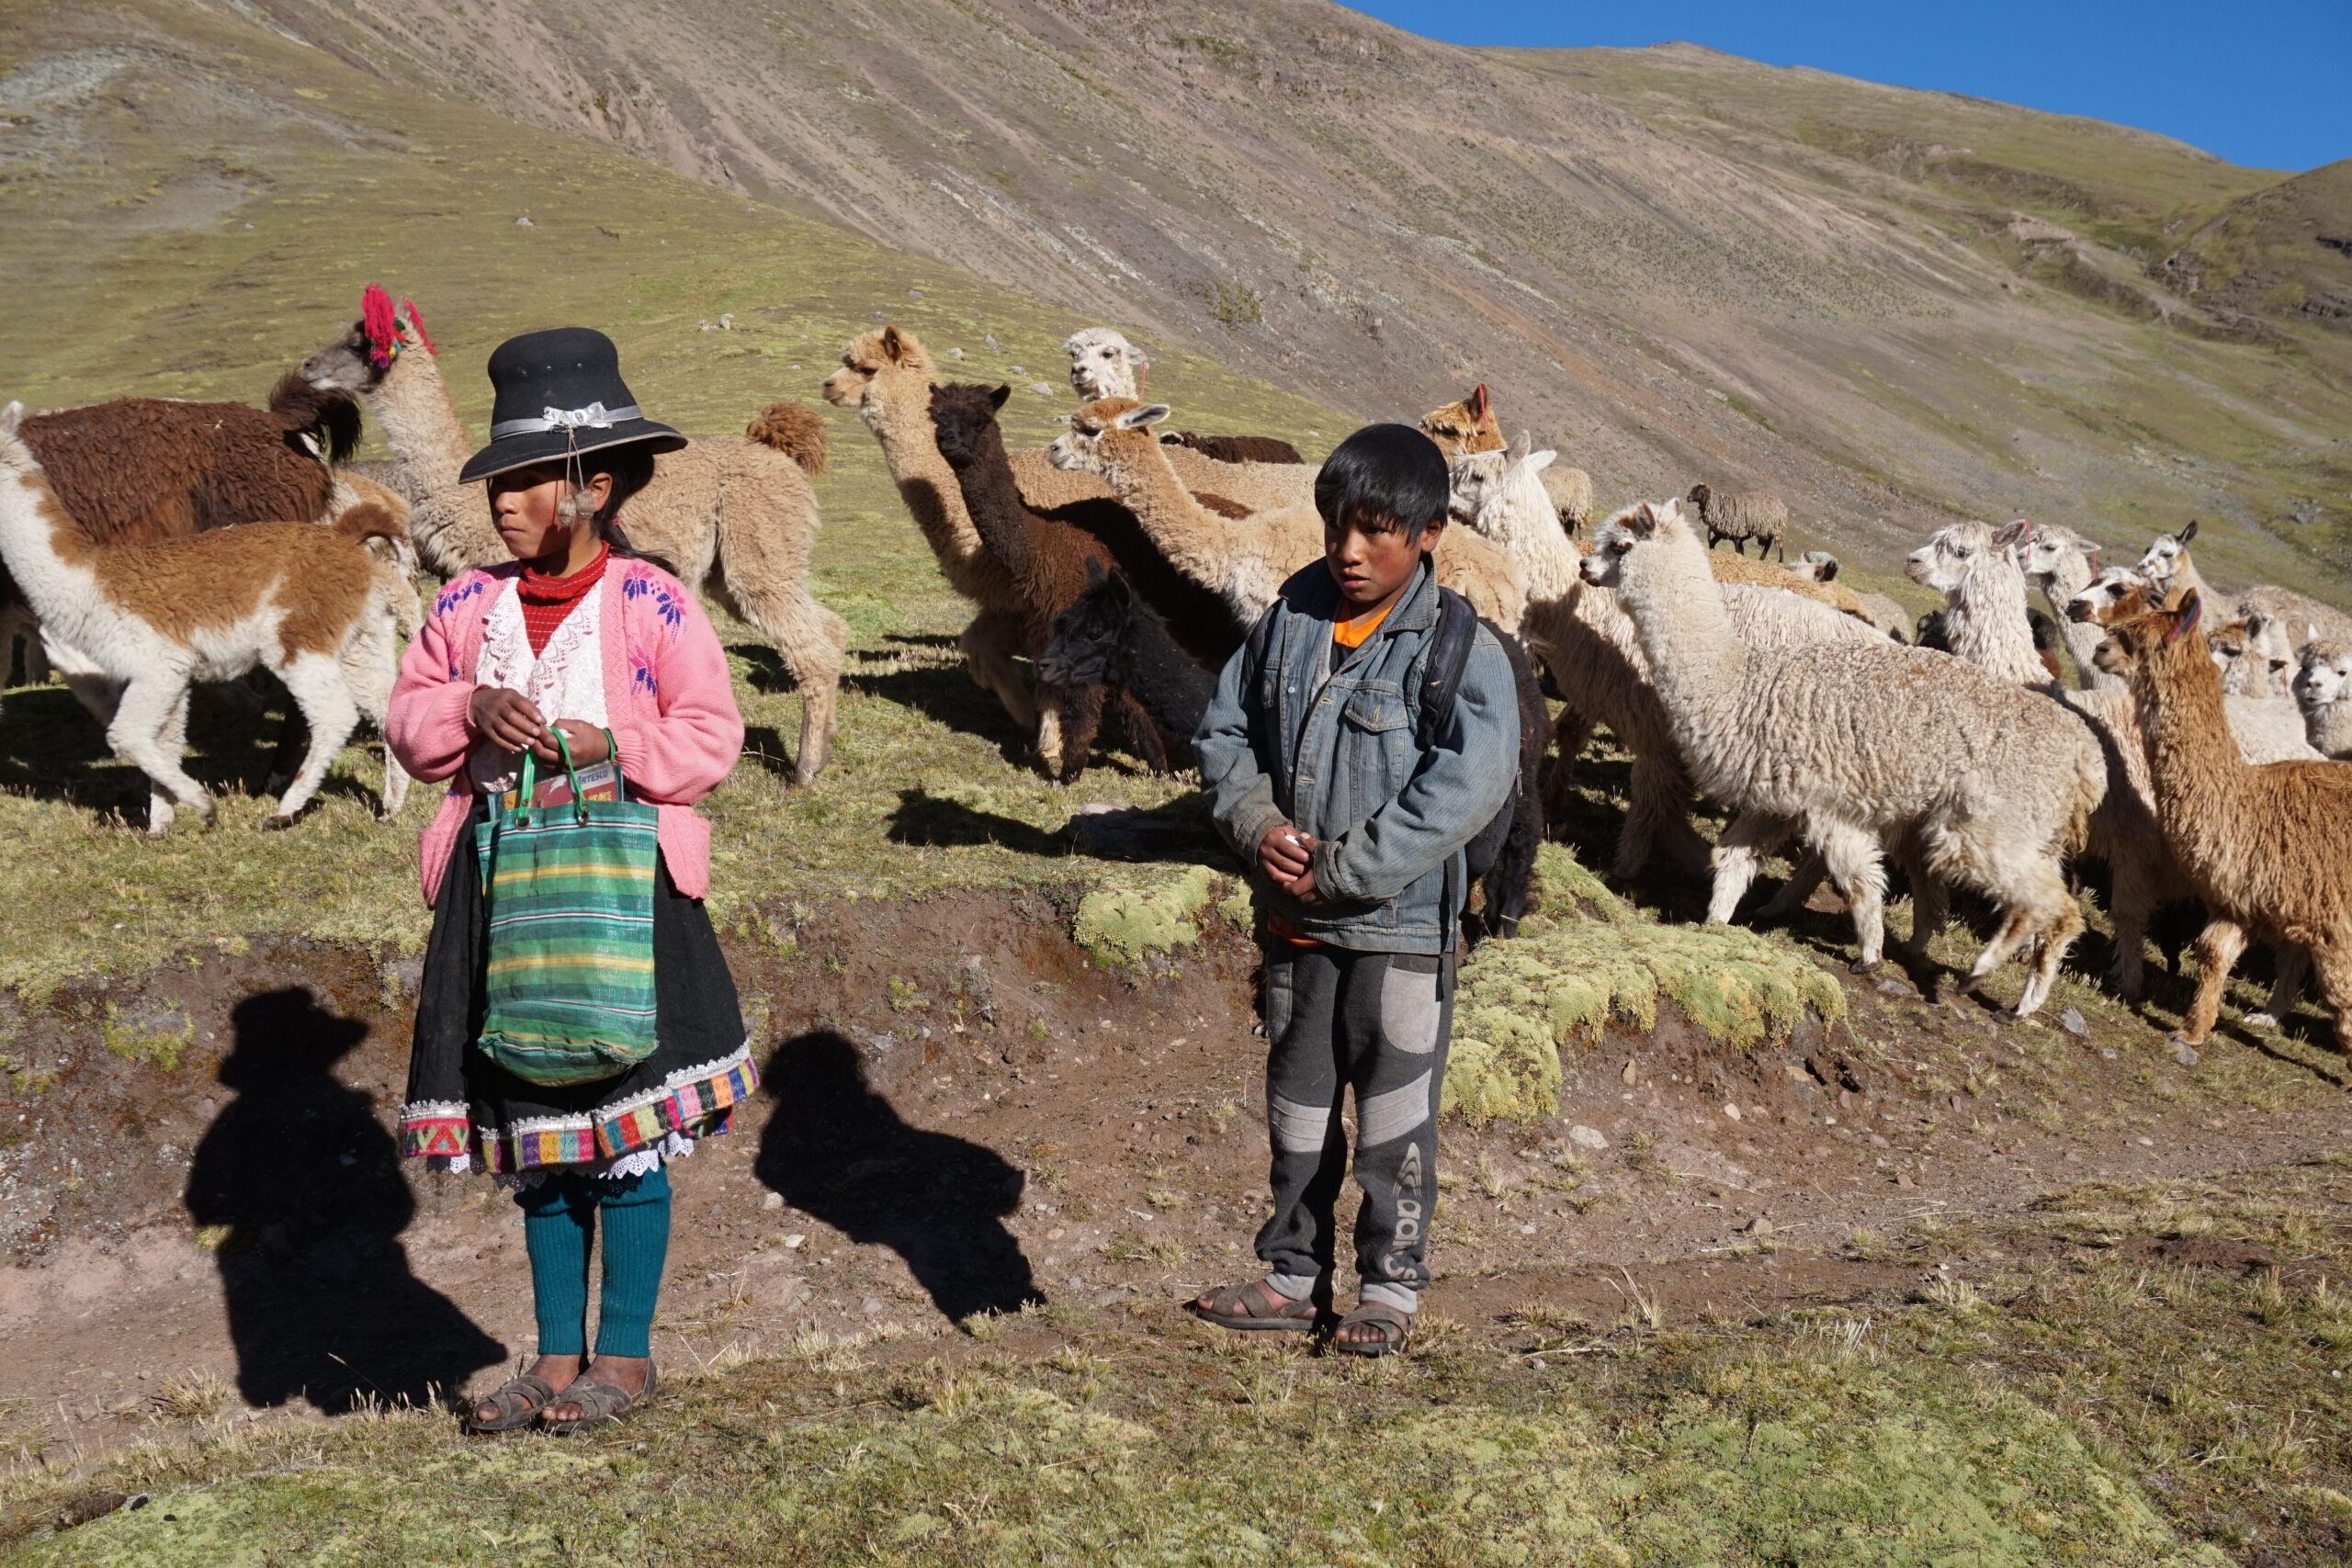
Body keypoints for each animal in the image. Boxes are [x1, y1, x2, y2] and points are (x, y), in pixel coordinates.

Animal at [0, 404, 413, 841]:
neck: (87, 578)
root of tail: (345, 536)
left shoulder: (156, 666)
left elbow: (126, 736)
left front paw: (201, 805)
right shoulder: (170, 679)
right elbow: (165, 743)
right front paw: (159, 826)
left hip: (300, 639)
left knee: (334, 715)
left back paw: (283, 810)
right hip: (363, 638)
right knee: (384, 703)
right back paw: (390, 806)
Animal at [308, 288, 851, 784]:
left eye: (359, 343)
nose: (309, 364)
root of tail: (779, 454)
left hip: (758, 550)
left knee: (813, 649)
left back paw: (804, 770)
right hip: (748, 565)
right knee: (831, 628)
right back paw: (822, 750)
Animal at [1589, 502, 2107, 1020]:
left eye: (1620, 546)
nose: (1585, 570)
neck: (1739, 682)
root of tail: (2085, 751)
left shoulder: (1830, 803)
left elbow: (1860, 881)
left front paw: (1869, 956)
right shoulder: (1777, 798)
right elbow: (1732, 859)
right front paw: (1715, 926)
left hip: (1989, 824)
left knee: (2056, 907)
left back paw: (1995, 980)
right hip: (2016, 828)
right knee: (2027, 901)